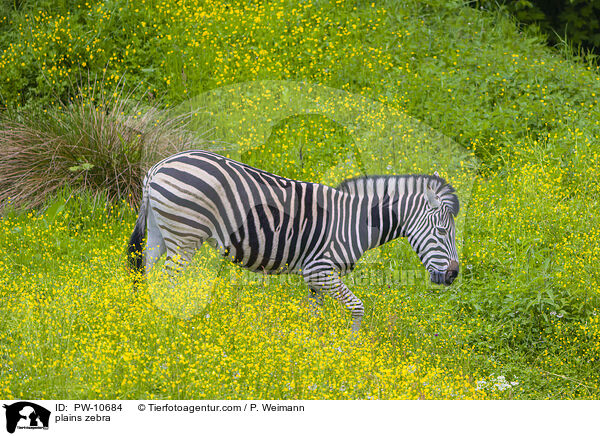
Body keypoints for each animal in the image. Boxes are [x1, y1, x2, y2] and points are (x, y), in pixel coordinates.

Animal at [129, 150, 462, 330]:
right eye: (442, 232)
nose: (453, 276)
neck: (354, 222)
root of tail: (158, 167)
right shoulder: (320, 269)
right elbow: (358, 308)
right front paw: (350, 347)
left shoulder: (316, 277)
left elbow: (314, 315)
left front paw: (314, 349)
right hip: (184, 238)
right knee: (168, 284)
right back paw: (171, 325)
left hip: (160, 235)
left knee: (146, 276)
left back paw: (145, 319)